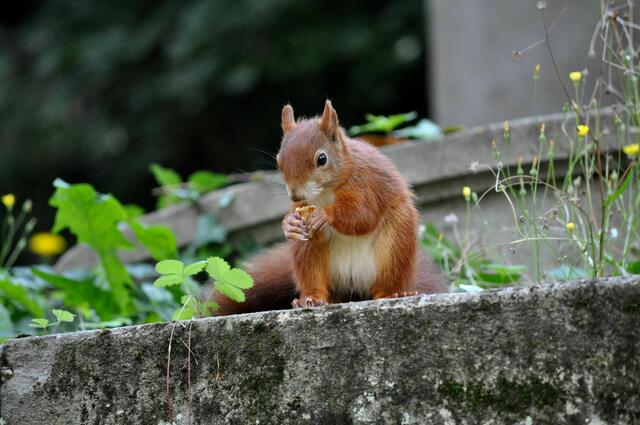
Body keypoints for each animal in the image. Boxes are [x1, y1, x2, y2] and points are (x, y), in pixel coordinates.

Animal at [215, 100, 445, 315]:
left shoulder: (367, 185)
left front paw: (325, 215)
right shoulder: (302, 205)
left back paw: (392, 294)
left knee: (387, 278)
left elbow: (364, 215)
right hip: (309, 255)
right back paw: (312, 298)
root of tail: (355, 287)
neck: (325, 192)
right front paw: (289, 224)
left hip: (395, 245)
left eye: (322, 158)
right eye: (279, 161)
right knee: (314, 275)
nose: (295, 194)